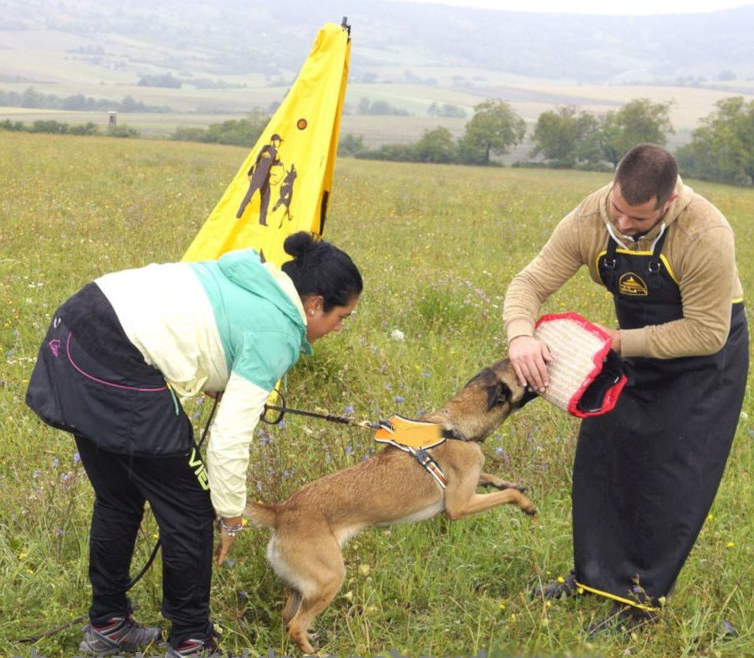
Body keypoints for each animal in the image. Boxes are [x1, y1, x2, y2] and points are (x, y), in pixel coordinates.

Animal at [245, 356, 536, 652]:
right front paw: (526, 505)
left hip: (300, 587)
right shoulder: (459, 505)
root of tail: (280, 512)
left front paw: (510, 484)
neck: (456, 426)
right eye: (520, 375)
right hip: (330, 579)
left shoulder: (469, 486)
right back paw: (315, 652)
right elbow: (506, 497)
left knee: (287, 617)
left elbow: (492, 480)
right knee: (296, 625)